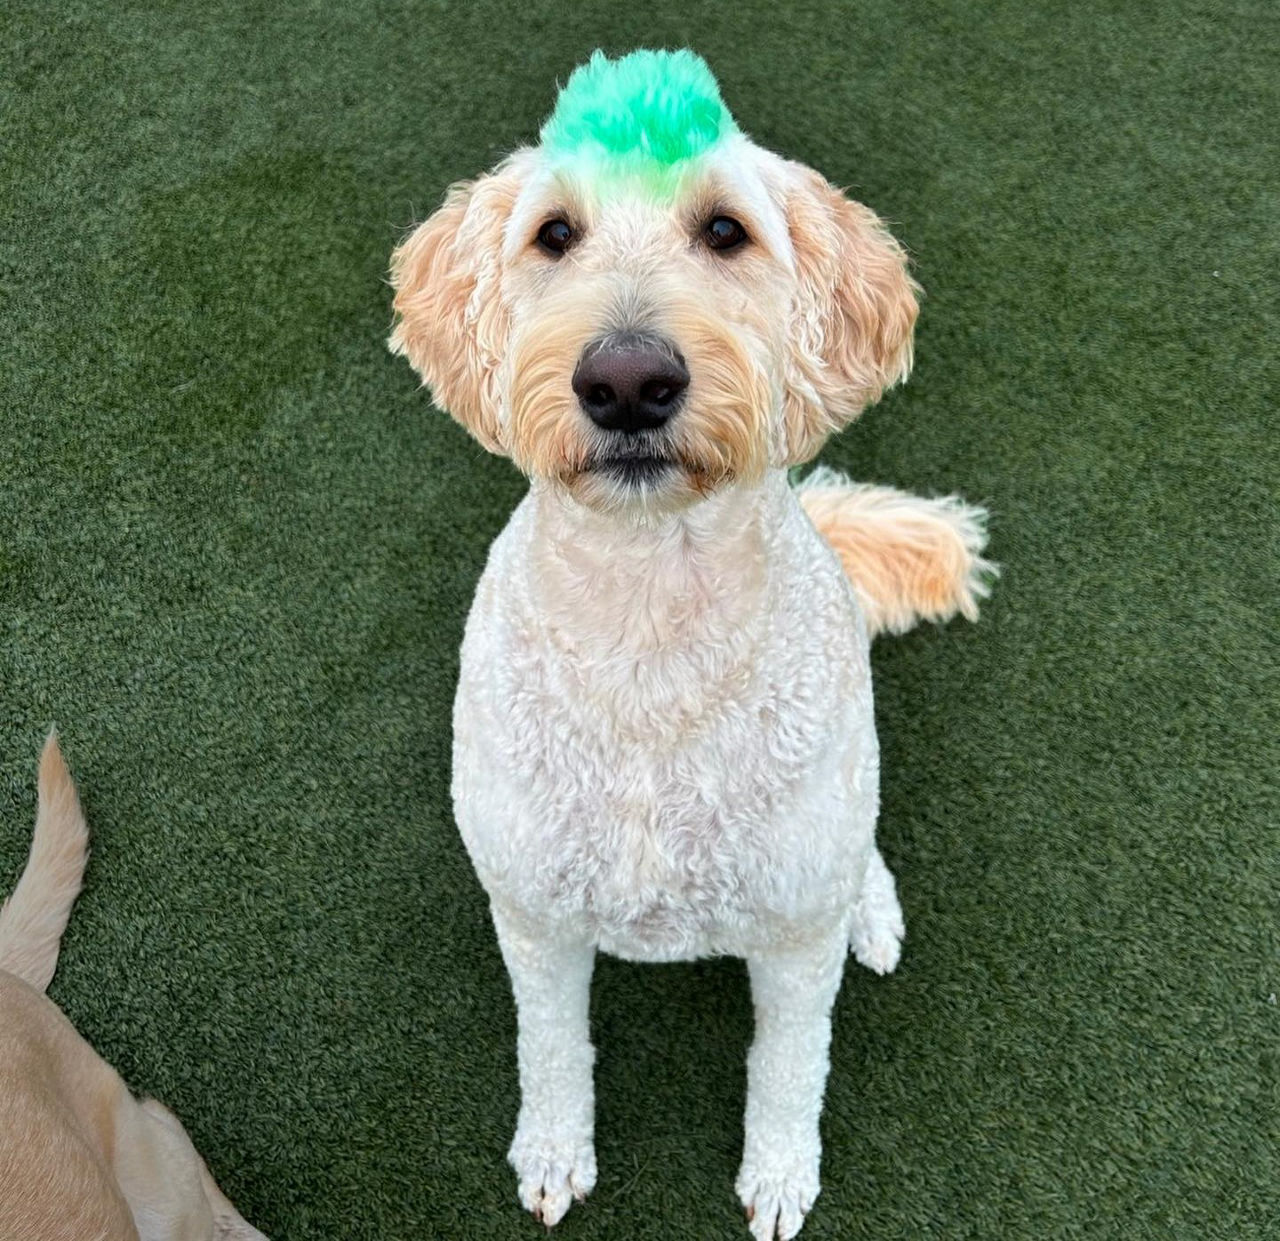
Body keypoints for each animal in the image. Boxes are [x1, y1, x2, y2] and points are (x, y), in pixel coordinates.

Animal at [386, 50, 988, 1238]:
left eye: (724, 231)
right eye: (554, 234)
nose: (626, 380)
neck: (649, 625)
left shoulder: (792, 942)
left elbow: (790, 1066)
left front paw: (780, 1174)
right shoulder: (534, 919)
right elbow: (552, 1051)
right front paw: (553, 1152)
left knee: (859, 852)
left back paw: (873, 910)